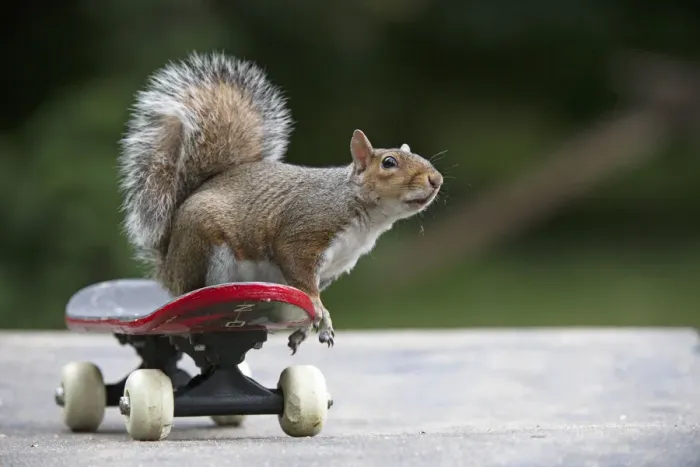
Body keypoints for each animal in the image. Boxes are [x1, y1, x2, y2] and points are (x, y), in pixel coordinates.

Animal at [117, 52, 443, 354]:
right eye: (389, 162)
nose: (436, 179)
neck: (360, 212)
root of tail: (168, 264)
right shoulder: (303, 234)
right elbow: (305, 284)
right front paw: (321, 314)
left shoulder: (333, 268)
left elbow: (302, 296)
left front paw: (307, 327)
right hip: (206, 248)